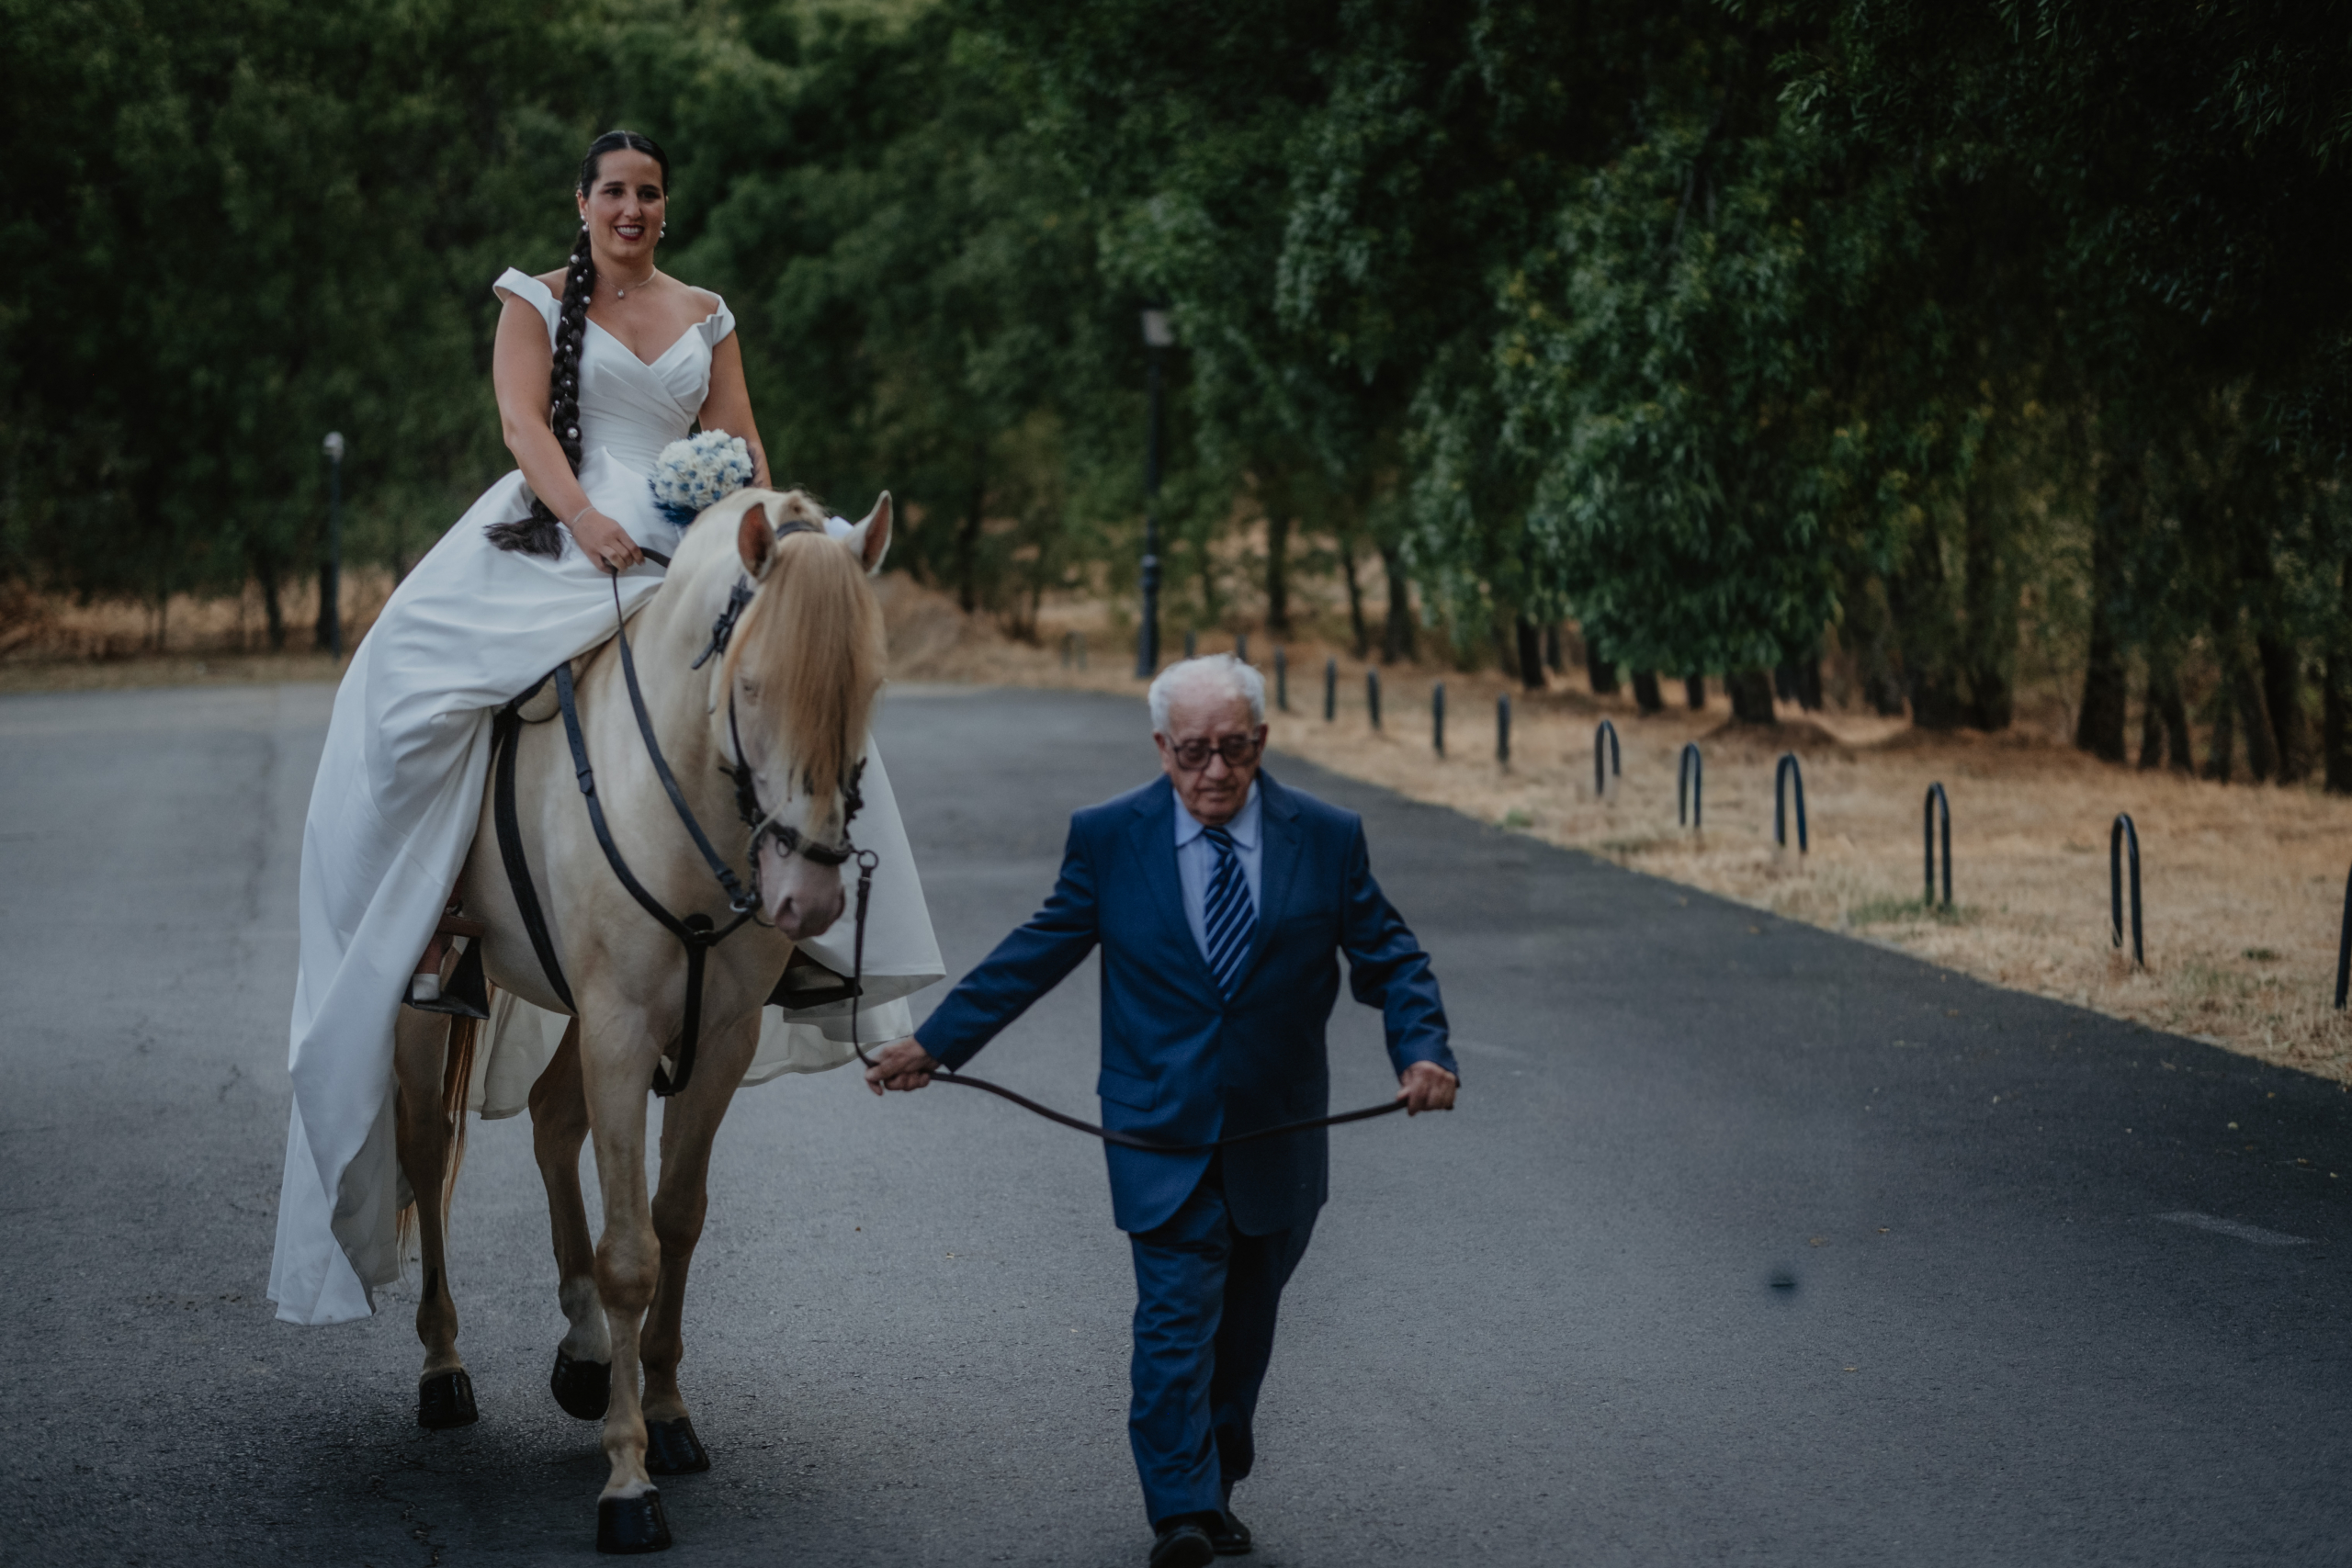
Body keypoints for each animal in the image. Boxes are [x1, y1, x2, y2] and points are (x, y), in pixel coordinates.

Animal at [388, 486, 890, 1554]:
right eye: (753, 684)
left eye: (871, 682)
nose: (809, 900)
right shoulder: (621, 1031)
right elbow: (630, 1256)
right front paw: (627, 1482)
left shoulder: (719, 1039)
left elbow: (677, 1221)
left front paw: (663, 1415)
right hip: (425, 1014)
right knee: (424, 1150)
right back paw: (443, 1367)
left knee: (550, 1122)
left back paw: (582, 1353)